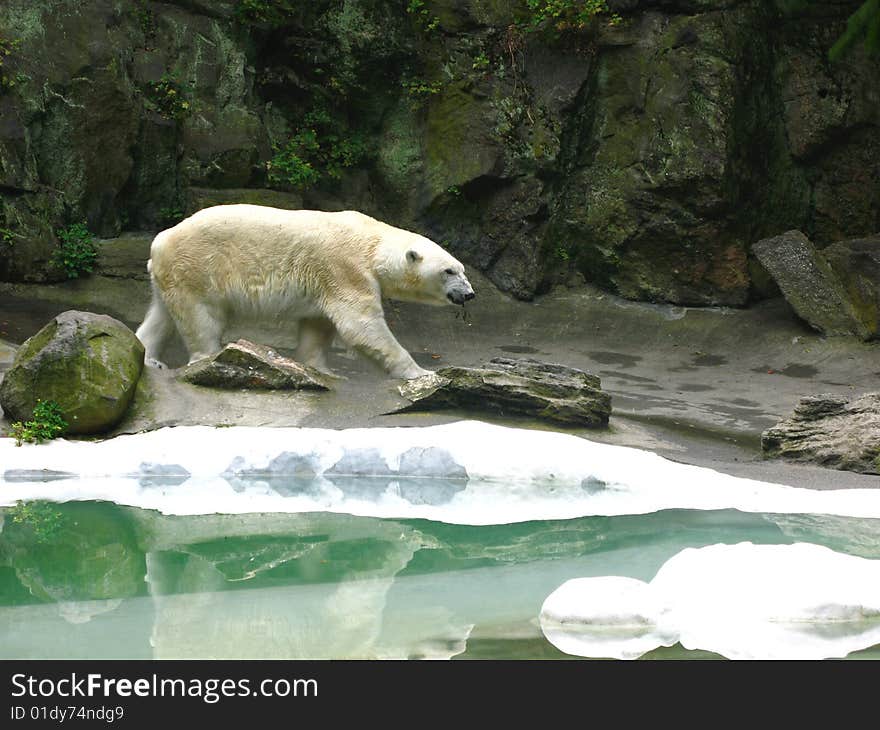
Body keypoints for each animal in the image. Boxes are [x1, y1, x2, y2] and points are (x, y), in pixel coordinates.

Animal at [134, 202, 474, 378]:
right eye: (449, 271)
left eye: (463, 270)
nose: (469, 294)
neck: (372, 243)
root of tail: (158, 242)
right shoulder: (345, 268)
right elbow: (361, 326)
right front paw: (421, 372)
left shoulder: (326, 281)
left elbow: (318, 327)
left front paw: (325, 371)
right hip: (198, 268)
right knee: (201, 318)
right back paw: (209, 356)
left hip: (171, 277)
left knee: (162, 316)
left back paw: (151, 360)